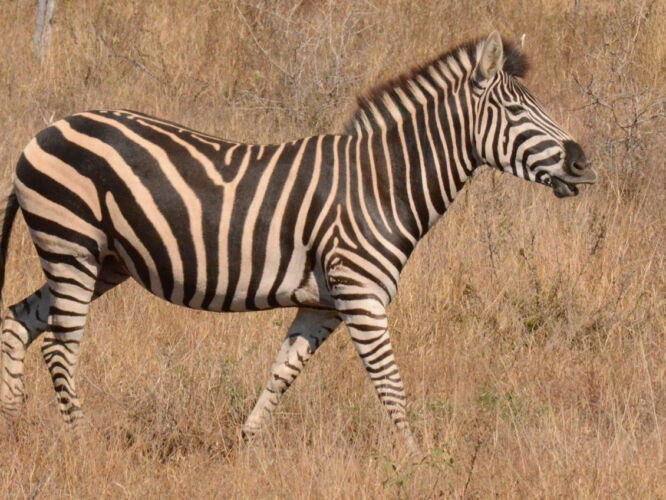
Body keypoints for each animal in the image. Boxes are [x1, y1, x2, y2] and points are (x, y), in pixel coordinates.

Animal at [0, 32, 596, 455]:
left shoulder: (322, 305)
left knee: (18, 320)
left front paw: (244, 447)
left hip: (99, 260)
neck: (382, 184)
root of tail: (45, 131)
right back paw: (80, 442)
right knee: (59, 346)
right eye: (516, 112)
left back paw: (11, 425)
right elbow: (389, 382)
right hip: (72, 245)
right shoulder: (361, 296)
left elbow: (282, 373)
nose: (583, 164)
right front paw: (418, 460)